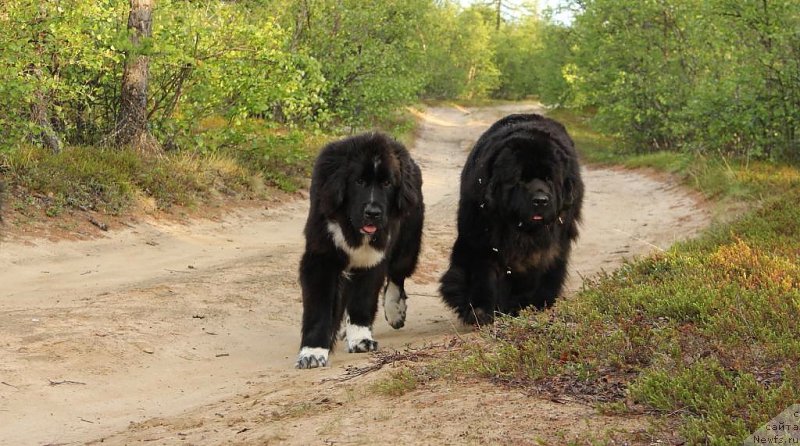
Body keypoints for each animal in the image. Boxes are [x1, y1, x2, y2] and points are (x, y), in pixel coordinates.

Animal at [296, 132, 424, 370]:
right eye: (359, 181)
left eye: (387, 183)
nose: (372, 213)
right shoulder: (321, 257)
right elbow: (319, 308)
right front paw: (312, 352)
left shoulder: (372, 257)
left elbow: (363, 299)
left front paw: (360, 339)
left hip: (407, 245)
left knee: (397, 275)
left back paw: (394, 311)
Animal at [440, 114, 584, 324]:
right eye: (521, 179)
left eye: (549, 179)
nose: (541, 200)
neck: (521, 230)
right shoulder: (481, 239)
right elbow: (481, 271)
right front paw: (480, 311)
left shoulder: (546, 247)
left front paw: (526, 307)